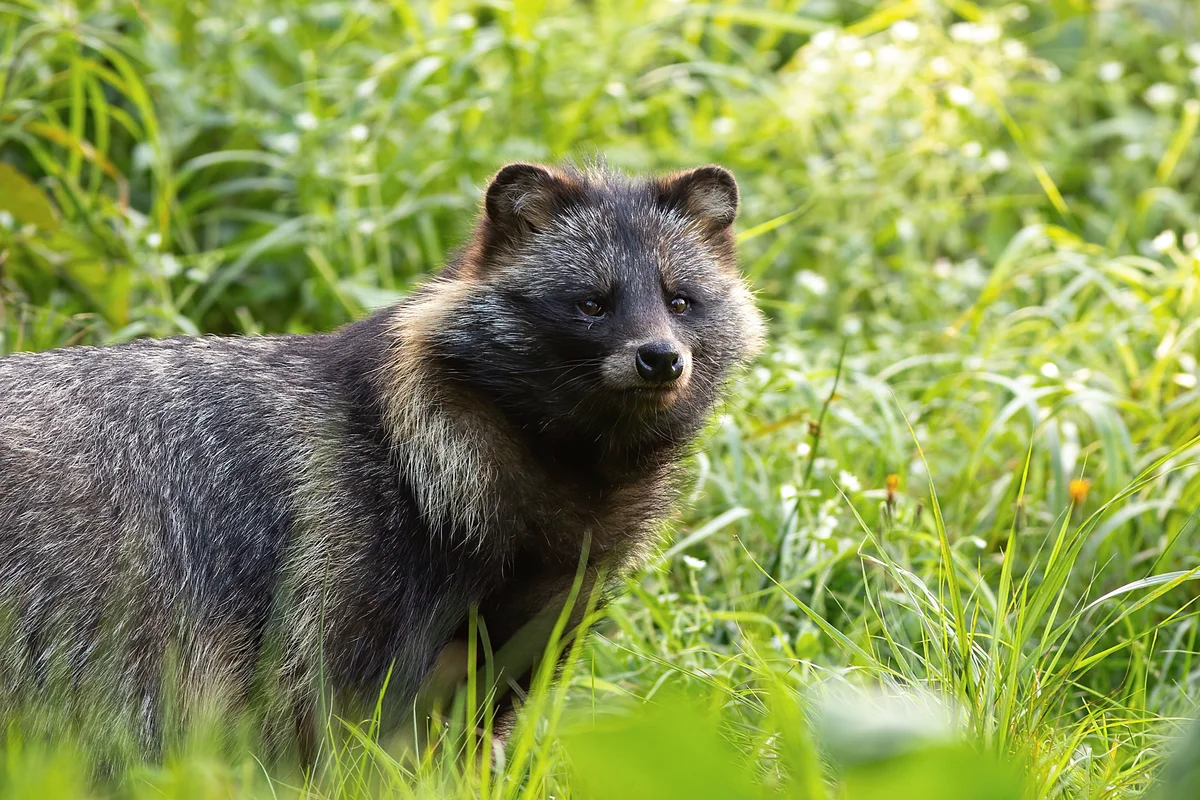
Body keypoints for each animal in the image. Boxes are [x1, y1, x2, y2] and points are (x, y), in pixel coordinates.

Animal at [0, 160, 768, 753]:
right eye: (590, 303)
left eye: (681, 299)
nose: (660, 358)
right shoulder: (342, 566)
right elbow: (336, 730)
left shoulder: (538, 618)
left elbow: (475, 733)